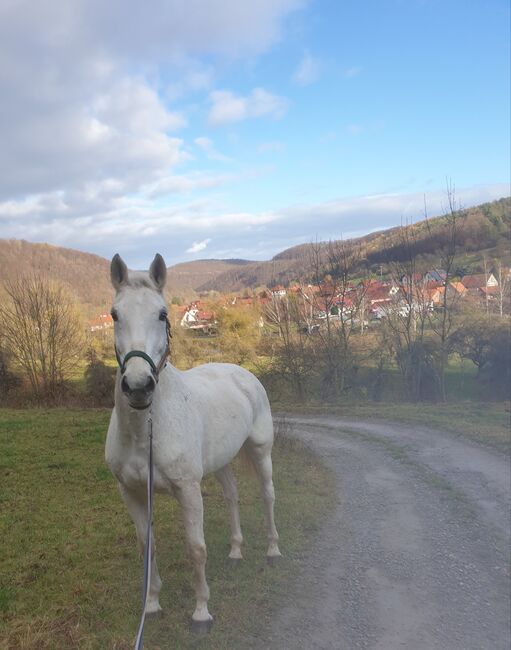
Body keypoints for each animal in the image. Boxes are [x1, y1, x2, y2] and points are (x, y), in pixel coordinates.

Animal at [104, 252, 280, 628]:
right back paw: (236, 551)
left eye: (162, 314)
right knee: (232, 496)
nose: (138, 387)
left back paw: (272, 550)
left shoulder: (187, 489)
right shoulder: (132, 492)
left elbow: (196, 548)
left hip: (261, 452)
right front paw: (151, 604)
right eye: (114, 314)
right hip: (222, 462)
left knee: (267, 495)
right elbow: (147, 546)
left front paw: (201, 611)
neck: (146, 429)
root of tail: (242, 373)